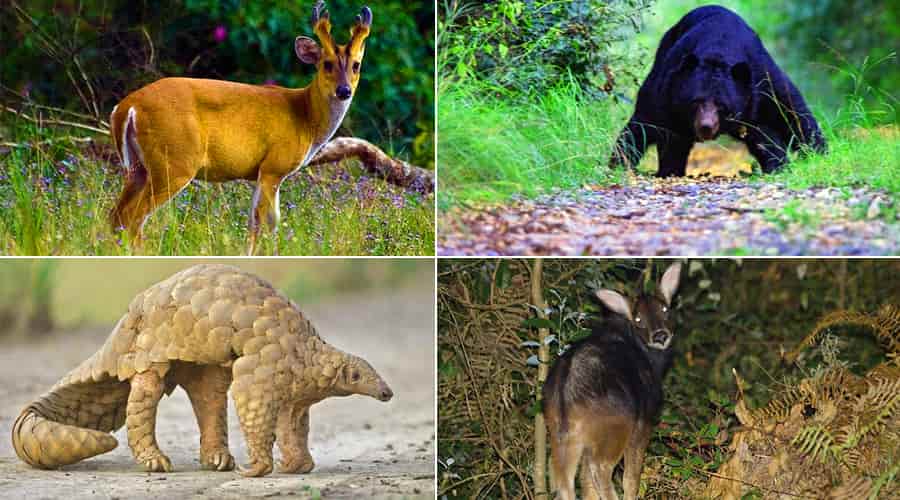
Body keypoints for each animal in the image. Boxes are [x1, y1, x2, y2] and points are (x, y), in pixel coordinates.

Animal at [540, 262, 684, 500]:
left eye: (665, 309)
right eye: (638, 319)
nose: (660, 336)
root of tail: (564, 389)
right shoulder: (644, 422)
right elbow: (631, 478)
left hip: (562, 433)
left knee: (566, 479)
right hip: (614, 426)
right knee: (599, 468)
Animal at [608, 5, 828, 176]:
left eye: (722, 106)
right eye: (695, 102)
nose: (706, 127)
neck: (718, 51)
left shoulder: (761, 86)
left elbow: (791, 114)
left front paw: (815, 155)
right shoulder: (666, 90)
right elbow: (644, 125)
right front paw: (618, 164)